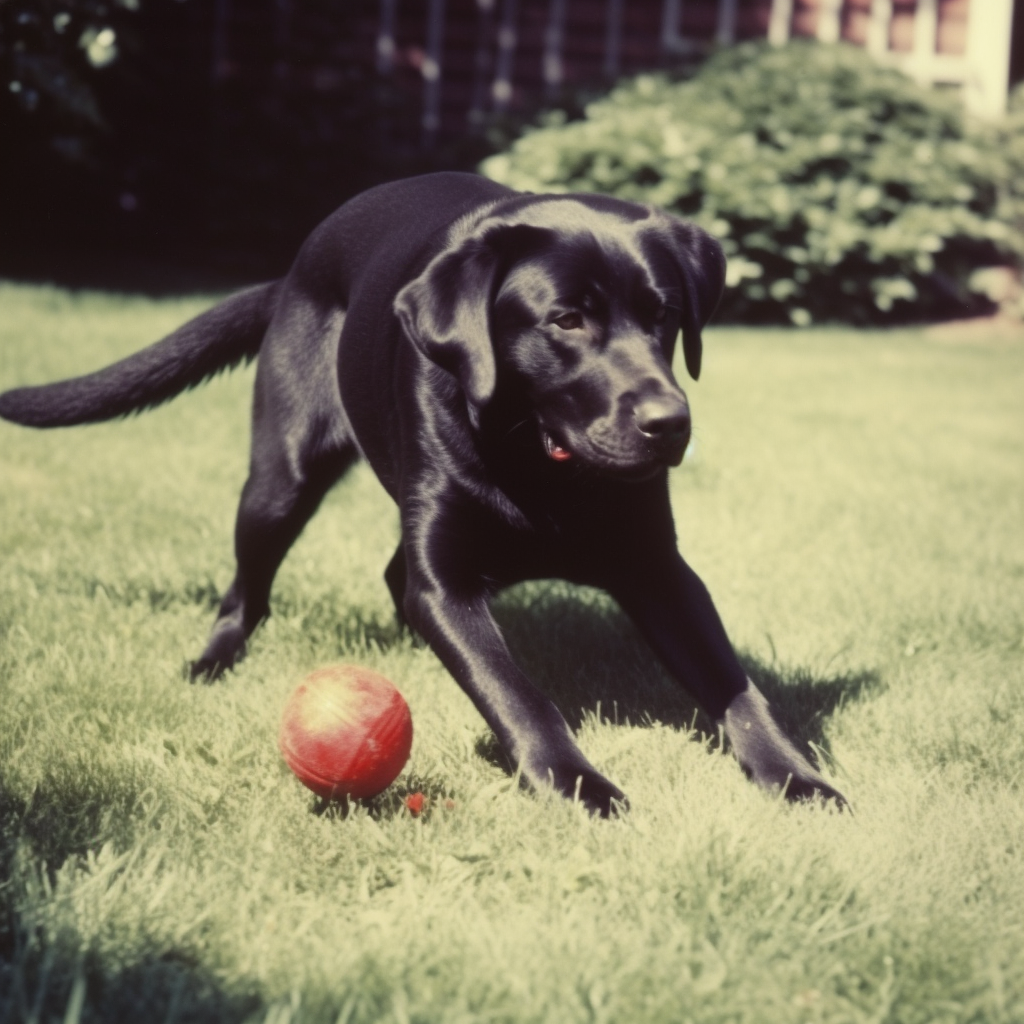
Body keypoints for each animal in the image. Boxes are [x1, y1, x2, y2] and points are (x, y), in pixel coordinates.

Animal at [4, 169, 843, 815]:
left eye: (664, 316)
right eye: (566, 320)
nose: (672, 424)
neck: (539, 462)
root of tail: (295, 264)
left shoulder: (660, 570)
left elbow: (734, 684)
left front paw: (797, 777)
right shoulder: (444, 577)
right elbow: (514, 689)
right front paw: (578, 784)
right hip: (280, 479)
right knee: (247, 589)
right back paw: (209, 664)